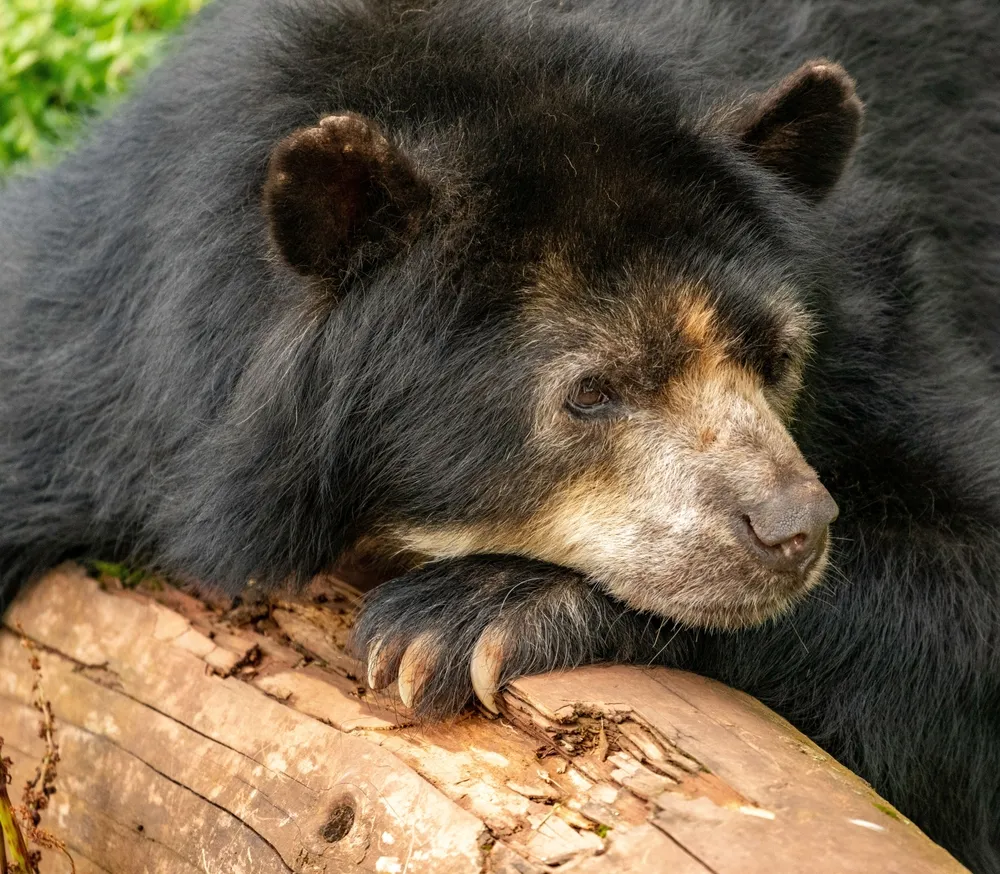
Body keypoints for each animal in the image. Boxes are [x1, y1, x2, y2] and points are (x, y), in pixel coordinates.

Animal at [1, 0, 998, 870]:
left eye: (777, 354)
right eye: (590, 393)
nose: (793, 530)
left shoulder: (878, 316)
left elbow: (968, 583)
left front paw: (468, 618)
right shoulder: (87, 353)